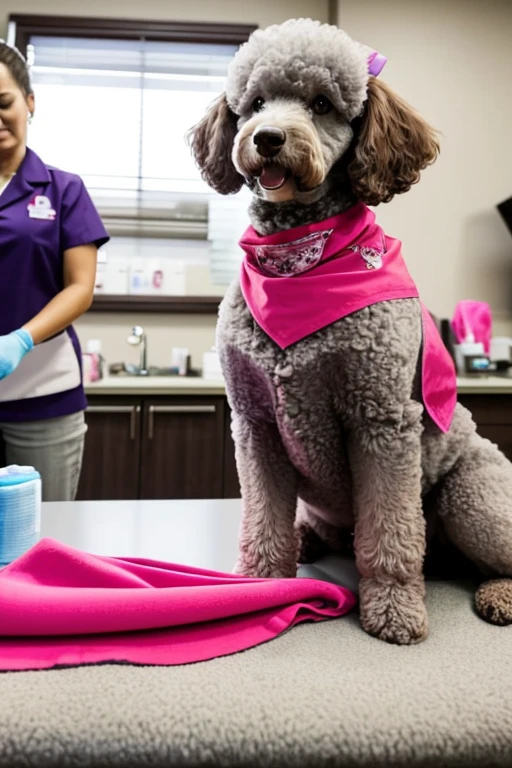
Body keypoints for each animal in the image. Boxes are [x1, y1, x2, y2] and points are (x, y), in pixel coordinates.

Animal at [190, 18, 512, 640]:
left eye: (321, 104)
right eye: (255, 104)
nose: (268, 138)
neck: (299, 263)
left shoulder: (381, 420)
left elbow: (389, 532)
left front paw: (393, 610)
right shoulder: (256, 424)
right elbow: (262, 519)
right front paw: (261, 584)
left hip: (474, 498)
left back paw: (498, 594)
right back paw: (306, 539)